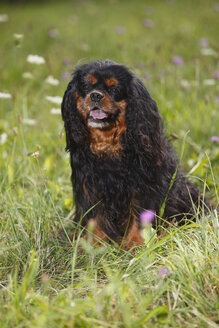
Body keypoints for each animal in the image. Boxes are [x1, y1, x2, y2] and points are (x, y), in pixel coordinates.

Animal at [61, 59, 209, 249]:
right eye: (86, 86)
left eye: (114, 89)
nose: (95, 95)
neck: (108, 145)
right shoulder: (89, 187)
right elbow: (94, 218)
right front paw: (93, 247)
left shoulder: (141, 187)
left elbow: (139, 219)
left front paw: (136, 246)